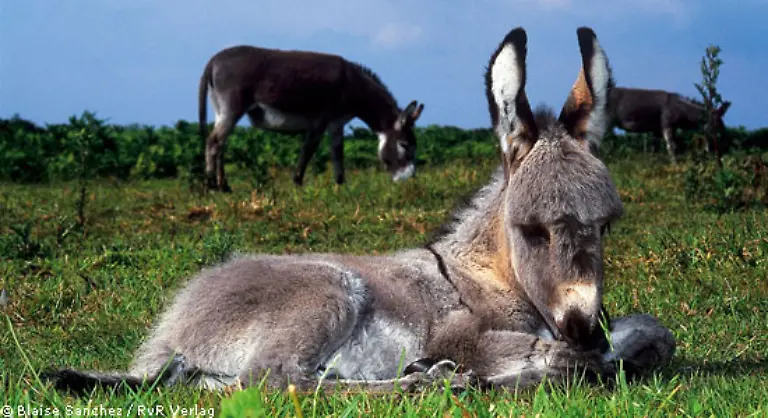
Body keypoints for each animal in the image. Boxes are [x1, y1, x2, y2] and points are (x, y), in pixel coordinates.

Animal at [198, 45, 424, 191]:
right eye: (404, 145)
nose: (409, 181)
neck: (352, 85)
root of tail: (213, 60)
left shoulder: (336, 124)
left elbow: (338, 154)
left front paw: (341, 187)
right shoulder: (319, 122)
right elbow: (307, 153)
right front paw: (297, 186)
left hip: (222, 109)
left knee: (220, 144)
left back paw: (224, 185)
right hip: (231, 109)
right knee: (214, 142)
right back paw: (212, 185)